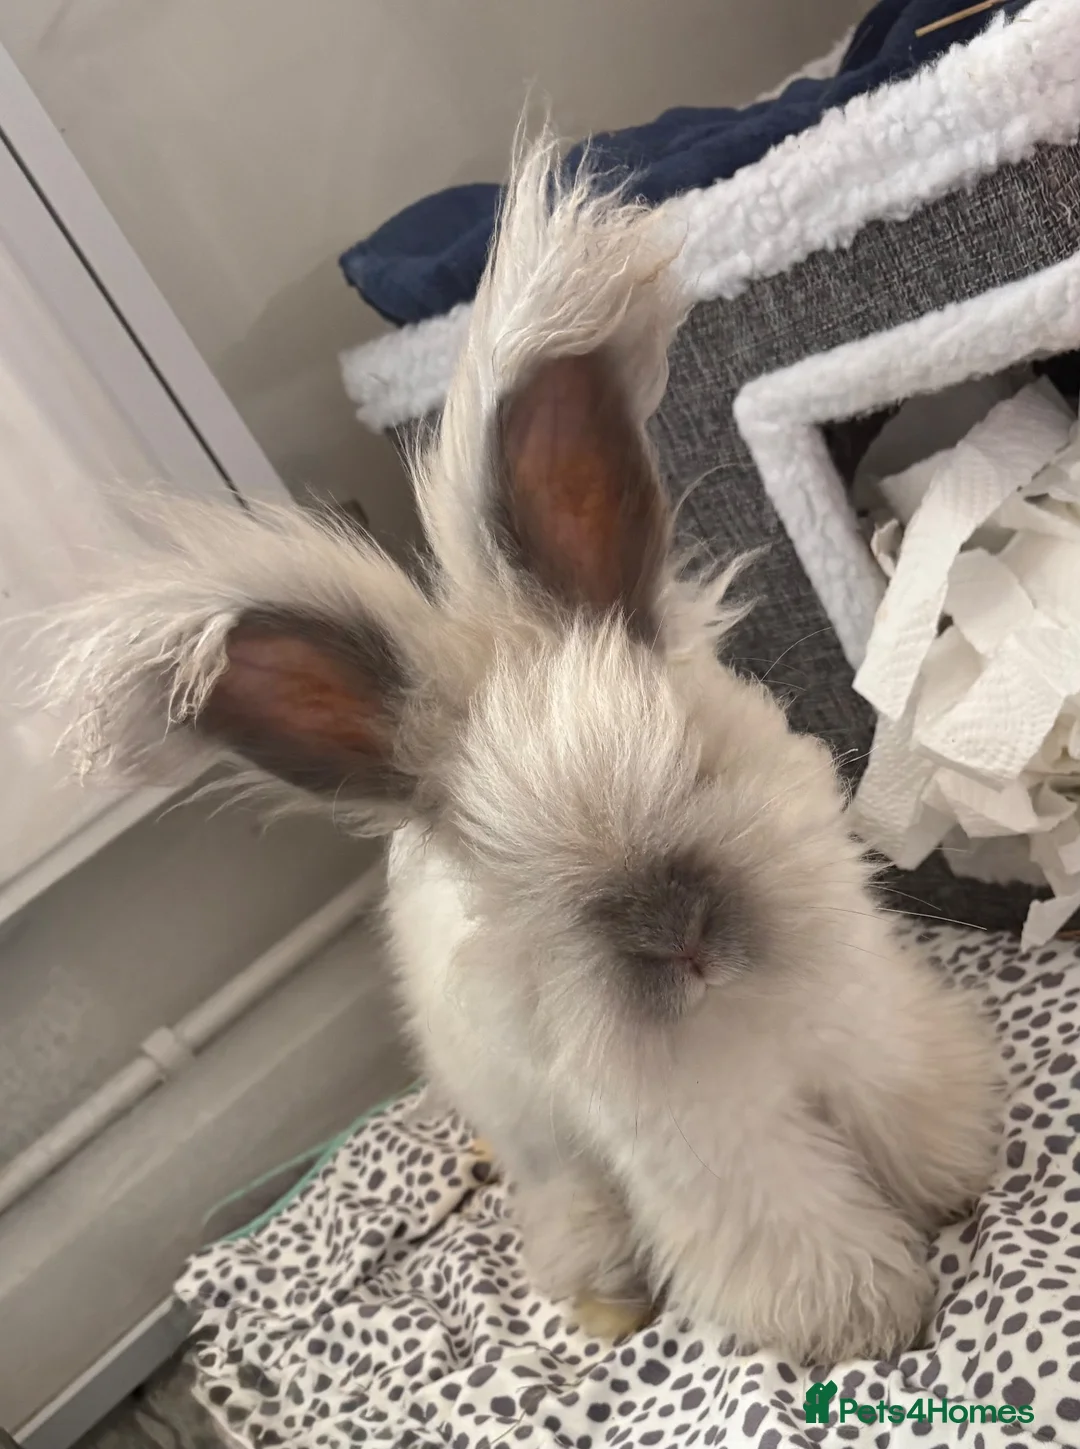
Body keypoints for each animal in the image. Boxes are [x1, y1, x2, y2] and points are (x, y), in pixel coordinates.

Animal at [33, 132, 1001, 1366]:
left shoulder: (863, 1025)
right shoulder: (715, 1155)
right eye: (522, 883)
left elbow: (908, 1112)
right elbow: (797, 1233)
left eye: (693, 762)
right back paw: (604, 1285)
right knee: (562, 1204)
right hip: (538, 1136)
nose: (681, 938)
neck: (744, 1018)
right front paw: (874, 1316)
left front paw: (954, 1181)